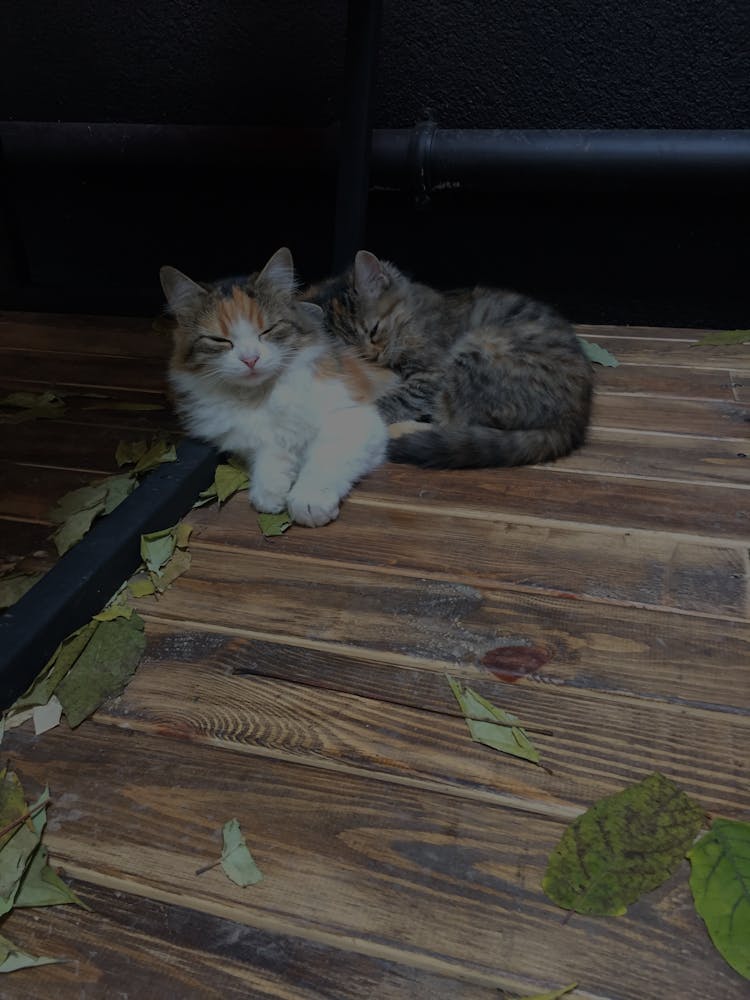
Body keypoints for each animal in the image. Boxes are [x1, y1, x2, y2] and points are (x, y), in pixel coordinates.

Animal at [162, 247, 396, 528]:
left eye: (268, 330)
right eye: (219, 340)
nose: (250, 359)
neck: (261, 395)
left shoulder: (354, 418)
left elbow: (324, 459)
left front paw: (309, 500)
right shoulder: (252, 439)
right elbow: (270, 453)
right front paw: (270, 491)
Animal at [304, 250, 592, 468]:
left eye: (374, 330)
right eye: (354, 351)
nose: (372, 356)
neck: (411, 314)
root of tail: (573, 418)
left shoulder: (430, 374)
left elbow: (392, 400)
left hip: (476, 352)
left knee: (452, 422)